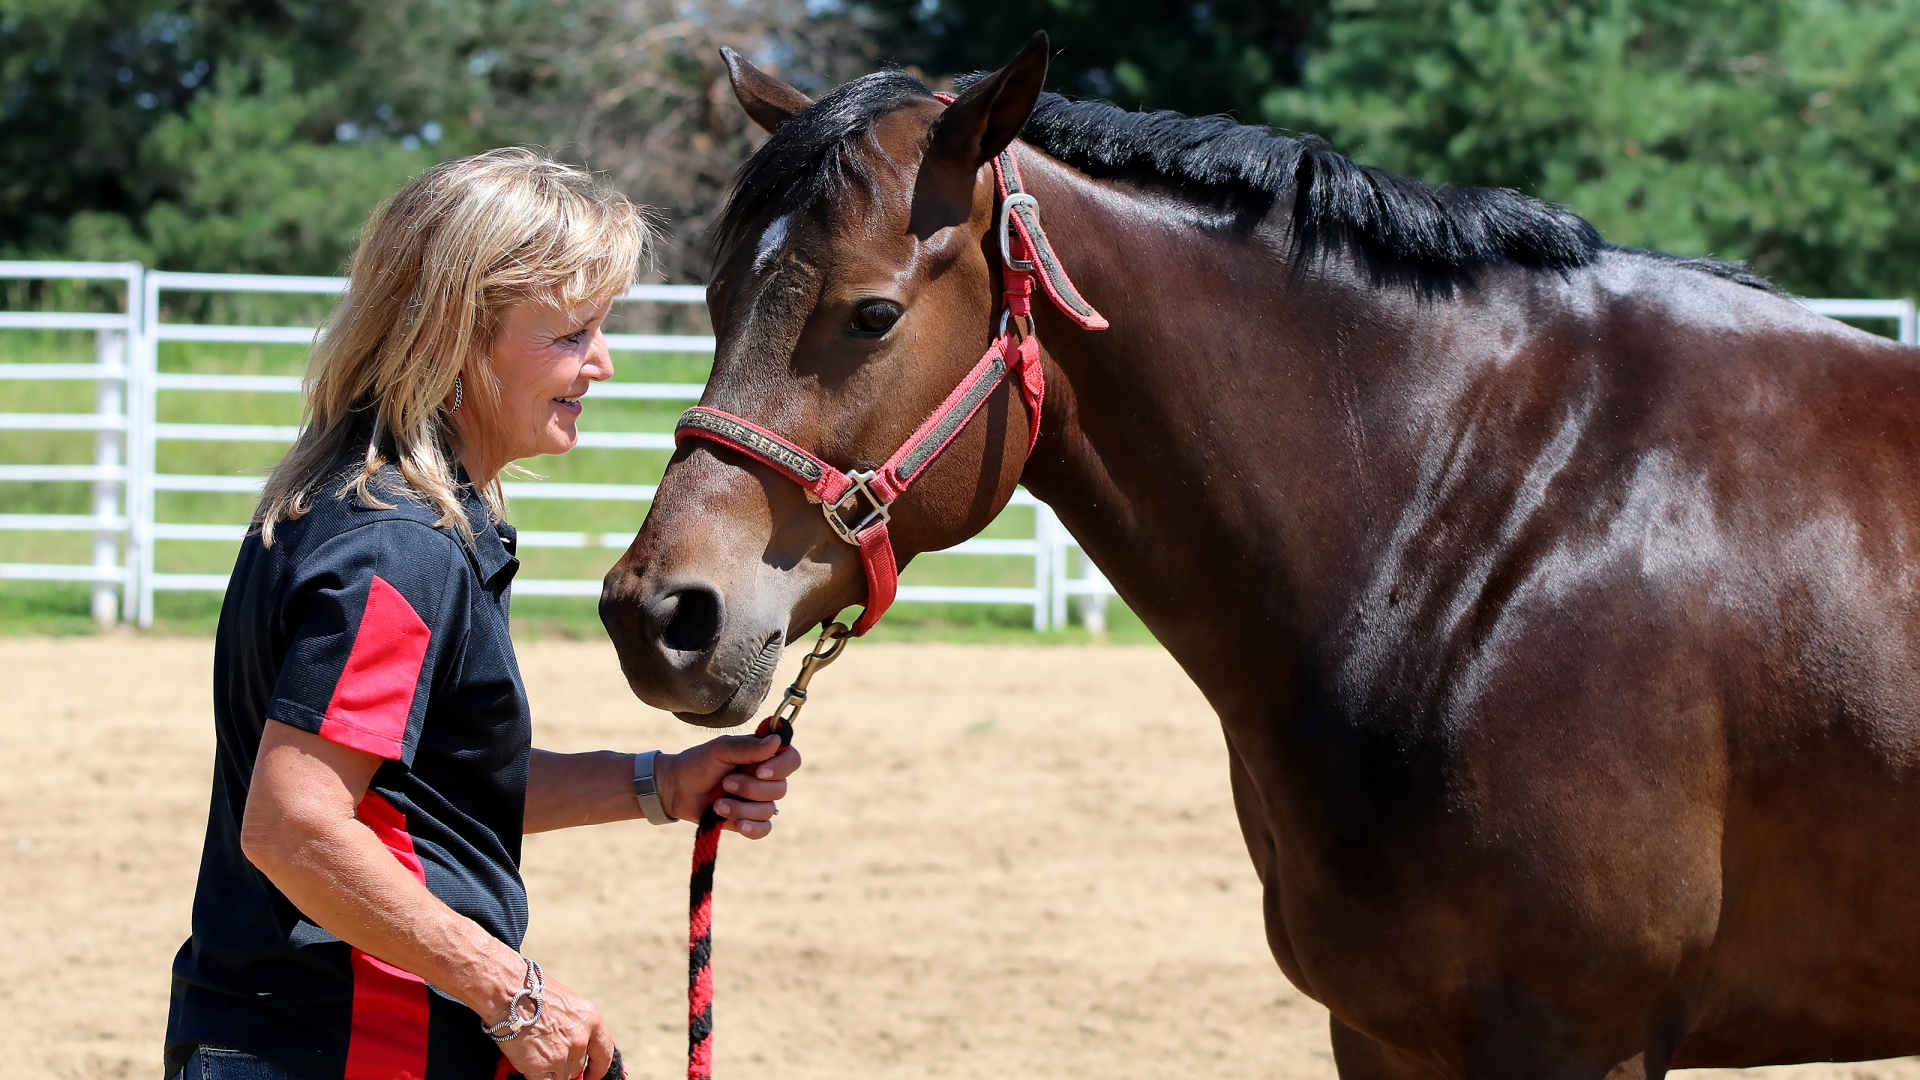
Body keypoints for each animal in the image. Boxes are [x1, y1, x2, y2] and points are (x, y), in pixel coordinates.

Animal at [599, 33, 1920, 1076]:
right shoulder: (1383, 1032)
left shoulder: (1577, 1036)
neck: (1498, 520)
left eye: (871, 315)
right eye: (713, 301)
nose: (656, 614)